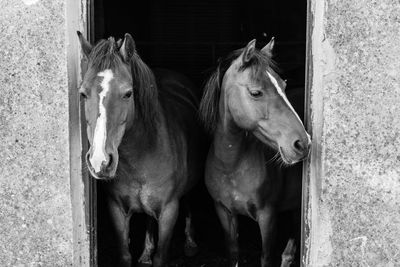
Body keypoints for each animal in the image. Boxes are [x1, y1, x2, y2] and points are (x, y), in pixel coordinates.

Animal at [77, 32, 203, 266]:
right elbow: (125, 254)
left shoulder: (169, 212)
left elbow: (161, 257)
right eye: (83, 93)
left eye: (128, 93)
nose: (100, 161)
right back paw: (145, 253)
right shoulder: (116, 210)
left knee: (189, 202)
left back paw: (190, 243)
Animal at [200, 38, 312, 266]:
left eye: (283, 86)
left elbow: (266, 257)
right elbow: (233, 253)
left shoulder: (268, 216)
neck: (231, 165)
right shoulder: (224, 212)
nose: (302, 143)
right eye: (255, 93)